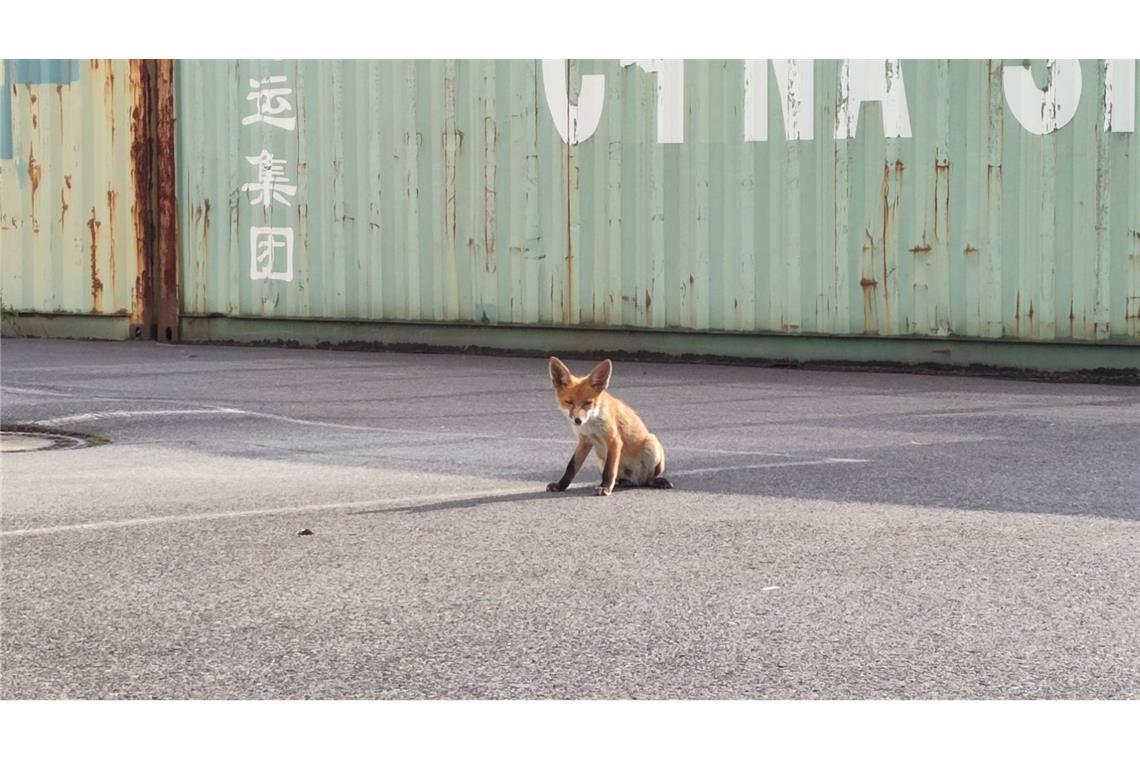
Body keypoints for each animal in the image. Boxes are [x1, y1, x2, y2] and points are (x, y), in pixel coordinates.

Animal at [544, 357, 670, 496]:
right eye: (569, 402)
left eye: (588, 403)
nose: (578, 421)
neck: (591, 426)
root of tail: (637, 480)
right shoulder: (585, 441)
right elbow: (571, 467)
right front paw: (561, 485)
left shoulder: (614, 440)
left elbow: (609, 470)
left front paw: (605, 487)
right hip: (600, 460)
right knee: (627, 480)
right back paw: (623, 483)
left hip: (652, 444)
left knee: (649, 478)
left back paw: (657, 481)